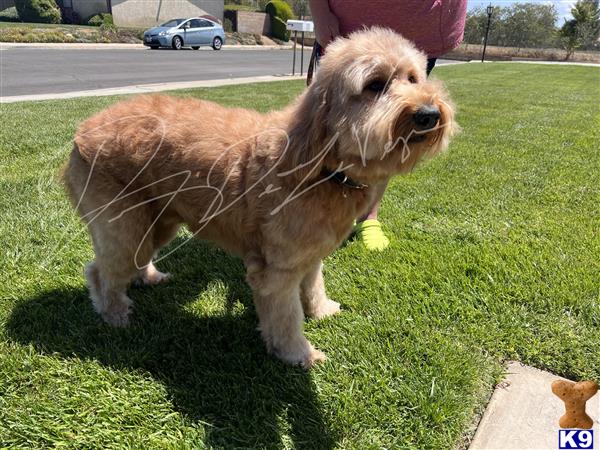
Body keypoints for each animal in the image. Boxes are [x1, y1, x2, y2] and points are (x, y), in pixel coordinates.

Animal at [63, 26, 454, 368]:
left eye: (413, 78)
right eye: (374, 85)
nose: (429, 114)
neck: (323, 167)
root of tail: (83, 129)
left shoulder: (309, 255)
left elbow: (314, 286)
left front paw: (321, 310)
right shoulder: (275, 271)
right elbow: (285, 319)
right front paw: (298, 354)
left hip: (158, 220)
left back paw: (148, 277)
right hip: (126, 222)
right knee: (100, 270)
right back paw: (114, 313)